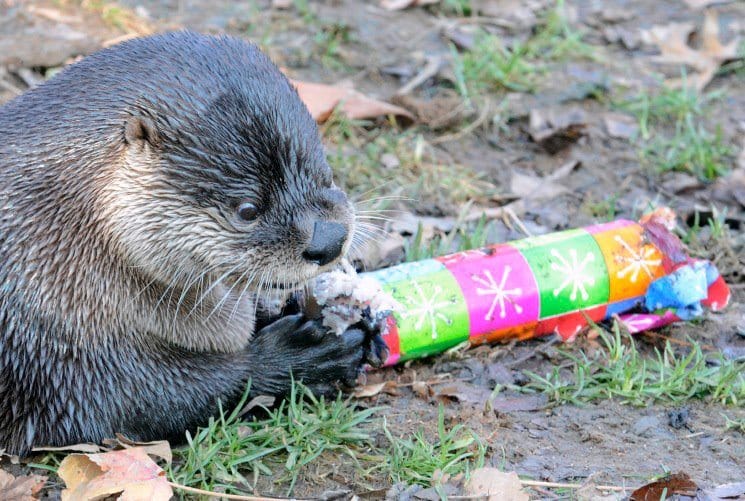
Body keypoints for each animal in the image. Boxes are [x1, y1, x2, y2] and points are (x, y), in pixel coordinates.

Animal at [0, 29, 386, 456]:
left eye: (326, 173)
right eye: (247, 209)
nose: (329, 239)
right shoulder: (46, 343)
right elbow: (141, 400)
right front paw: (305, 357)